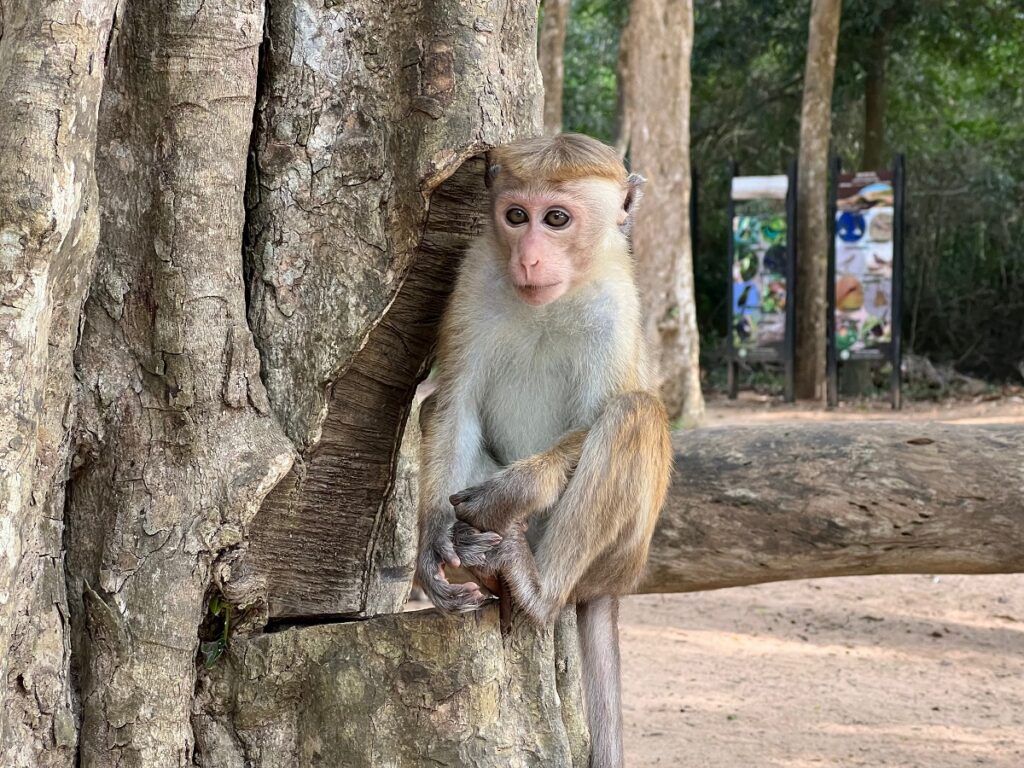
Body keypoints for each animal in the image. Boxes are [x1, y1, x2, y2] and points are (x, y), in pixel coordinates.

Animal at [415, 134, 671, 768]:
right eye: (516, 217)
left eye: (556, 219)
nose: (528, 257)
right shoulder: (476, 275)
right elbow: (453, 402)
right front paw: (432, 538)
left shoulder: (615, 303)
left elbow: (595, 418)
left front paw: (515, 488)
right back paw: (474, 557)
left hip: (619, 556)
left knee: (634, 415)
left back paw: (537, 592)